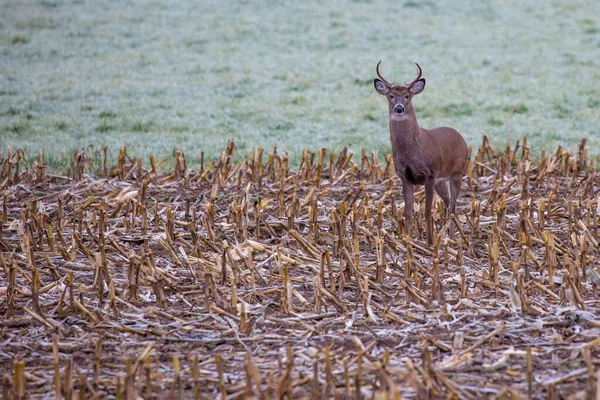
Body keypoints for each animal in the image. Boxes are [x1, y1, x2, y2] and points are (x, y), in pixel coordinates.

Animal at [376, 62, 468, 247]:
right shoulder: (404, 176)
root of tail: (460, 137)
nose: (399, 108)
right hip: (442, 180)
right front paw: (405, 240)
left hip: (457, 172)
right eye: (391, 95)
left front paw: (430, 243)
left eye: (407, 95)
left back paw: (452, 239)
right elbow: (408, 211)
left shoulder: (430, 174)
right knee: (448, 203)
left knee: (453, 207)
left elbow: (426, 211)